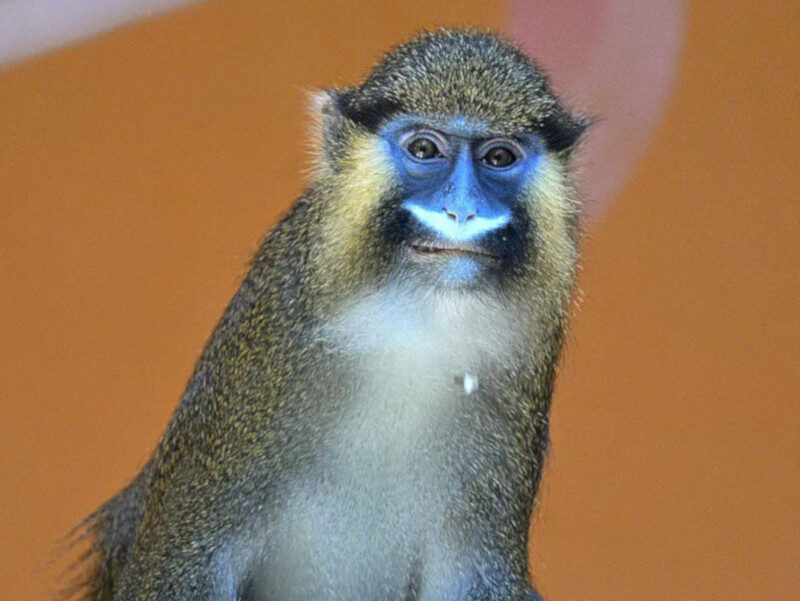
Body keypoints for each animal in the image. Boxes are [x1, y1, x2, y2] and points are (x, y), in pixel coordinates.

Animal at [65, 27, 587, 601]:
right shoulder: (264, 350)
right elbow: (181, 563)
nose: (463, 212)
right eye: (424, 149)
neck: (409, 325)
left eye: (499, 157)